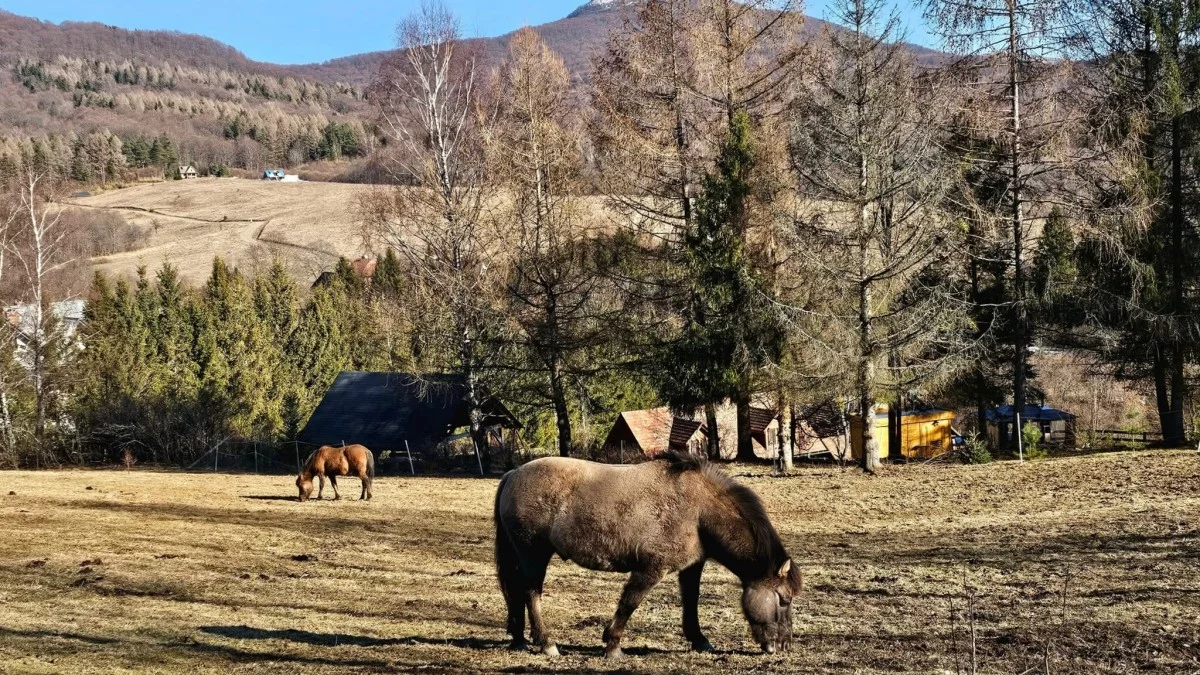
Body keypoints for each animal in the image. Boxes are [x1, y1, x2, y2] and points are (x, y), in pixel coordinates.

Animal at [492, 449, 801, 653]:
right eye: (783, 599)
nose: (784, 645)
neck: (699, 510)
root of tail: (513, 474)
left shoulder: (691, 567)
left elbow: (691, 601)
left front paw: (699, 639)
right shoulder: (651, 569)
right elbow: (630, 602)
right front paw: (613, 644)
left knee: (517, 592)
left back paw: (519, 639)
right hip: (533, 555)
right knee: (531, 592)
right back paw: (546, 642)